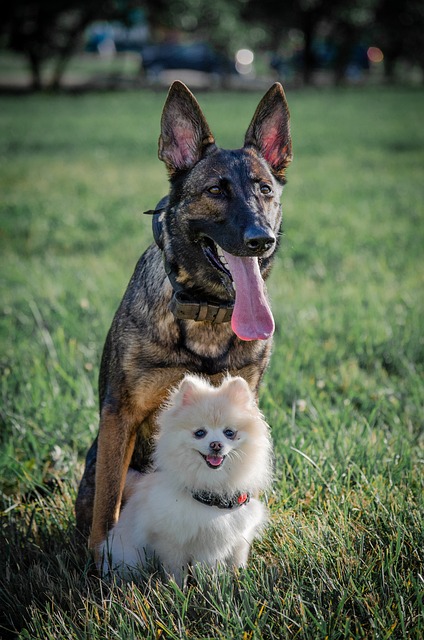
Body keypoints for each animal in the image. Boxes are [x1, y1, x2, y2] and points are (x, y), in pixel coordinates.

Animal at [75, 82, 292, 556]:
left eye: (265, 189)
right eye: (215, 190)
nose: (261, 240)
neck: (208, 309)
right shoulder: (120, 415)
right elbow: (108, 507)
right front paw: (103, 561)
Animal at [99, 370, 274, 584]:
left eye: (229, 433)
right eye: (200, 433)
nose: (216, 444)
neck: (212, 494)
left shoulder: (238, 540)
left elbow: (236, 564)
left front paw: (236, 581)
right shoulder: (172, 541)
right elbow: (177, 570)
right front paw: (177, 587)